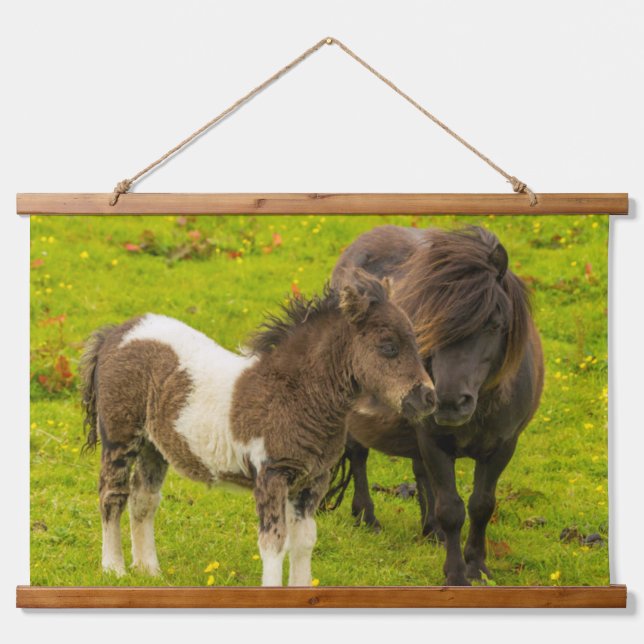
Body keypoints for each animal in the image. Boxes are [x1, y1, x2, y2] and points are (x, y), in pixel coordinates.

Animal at [80, 270, 436, 586]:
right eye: (388, 346)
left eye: (415, 341)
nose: (428, 397)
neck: (295, 395)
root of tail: (115, 333)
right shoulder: (271, 475)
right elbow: (273, 542)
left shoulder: (313, 480)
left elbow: (304, 541)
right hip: (120, 436)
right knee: (113, 495)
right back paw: (114, 569)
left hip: (154, 447)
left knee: (144, 500)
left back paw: (148, 571)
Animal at [329, 225, 544, 586]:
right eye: (430, 324)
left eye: (494, 323)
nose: (449, 401)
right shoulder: (433, 441)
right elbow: (452, 509)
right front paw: (456, 574)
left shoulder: (503, 446)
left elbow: (481, 505)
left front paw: (477, 566)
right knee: (358, 456)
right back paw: (367, 517)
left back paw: (431, 531)